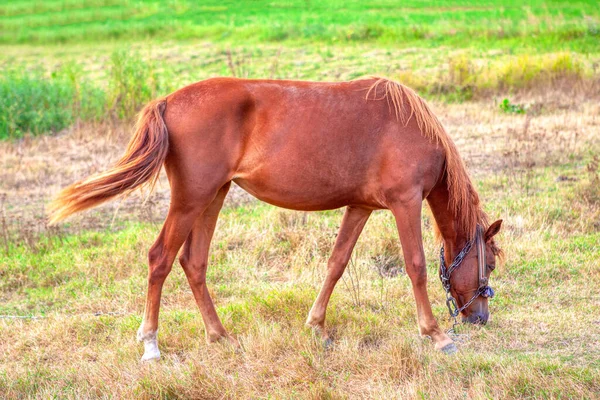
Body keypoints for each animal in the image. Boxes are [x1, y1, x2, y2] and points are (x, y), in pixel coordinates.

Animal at [50, 76, 502, 360]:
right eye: (491, 264)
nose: (480, 318)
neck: (411, 128)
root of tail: (168, 102)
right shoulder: (404, 203)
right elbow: (417, 266)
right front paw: (436, 335)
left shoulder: (360, 207)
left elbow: (337, 263)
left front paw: (317, 326)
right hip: (191, 199)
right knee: (160, 258)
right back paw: (151, 344)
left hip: (213, 197)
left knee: (193, 262)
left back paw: (220, 337)